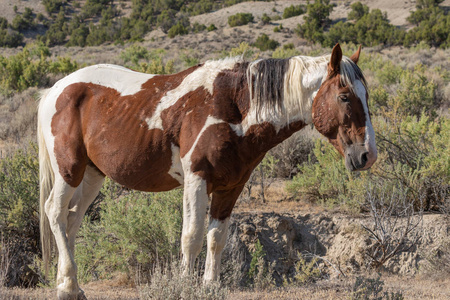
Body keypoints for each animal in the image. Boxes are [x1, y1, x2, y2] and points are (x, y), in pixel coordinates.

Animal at [38, 43, 376, 298]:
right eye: (344, 96)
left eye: (367, 95)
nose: (367, 155)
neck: (235, 105)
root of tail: (55, 90)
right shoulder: (197, 180)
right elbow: (192, 236)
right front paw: (185, 286)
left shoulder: (231, 186)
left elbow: (216, 238)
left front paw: (210, 285)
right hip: (69, 169)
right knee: (55, 211)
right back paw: (68, 287)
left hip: (92, 174)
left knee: (71, 220)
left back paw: (70, 285)